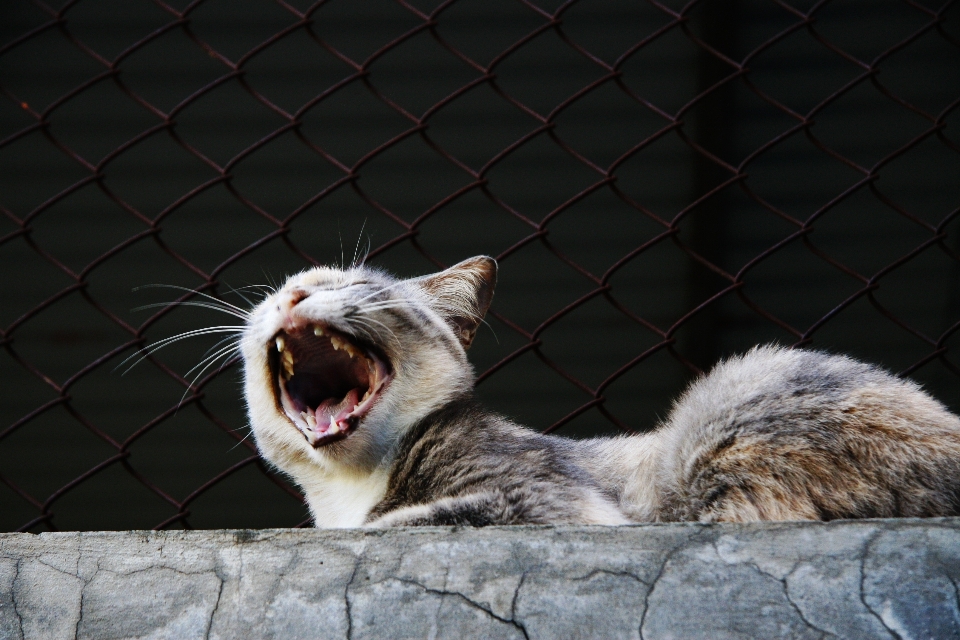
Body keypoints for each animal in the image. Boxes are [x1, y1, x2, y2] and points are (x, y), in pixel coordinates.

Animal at [236, 258, 960, 528]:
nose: (293, 296)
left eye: (357, 285)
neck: (349, 487)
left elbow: (401, 524)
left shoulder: (550, 504)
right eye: (272, 297)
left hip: (726, 407)